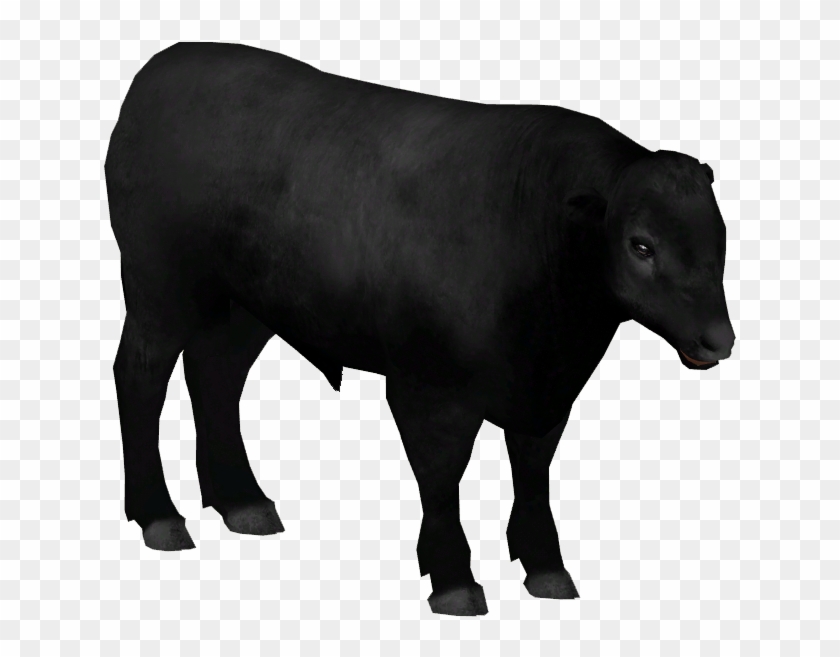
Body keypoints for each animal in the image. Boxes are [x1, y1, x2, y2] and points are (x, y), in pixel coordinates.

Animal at [104, 42, 736, 616]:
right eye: (640, 245)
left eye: (720, 236)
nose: (719, 340)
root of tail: (161, 67)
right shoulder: (428, 388)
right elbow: (441, 474)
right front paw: (454, 580)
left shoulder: (545, 393)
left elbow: (533, 470)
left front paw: (547, 570)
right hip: (160, 289)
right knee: (141, 375)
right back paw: (161, 517)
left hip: (244, 307)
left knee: (215, 376)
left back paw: (243, 503)